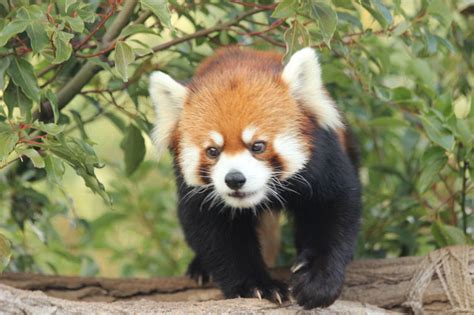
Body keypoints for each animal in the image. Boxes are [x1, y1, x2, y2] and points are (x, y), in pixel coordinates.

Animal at [150, 47, 362, 312]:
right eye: (212, 151)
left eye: (257, 146)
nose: (234, 179)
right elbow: (216, 234)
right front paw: (257, 286)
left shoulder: (323, 159)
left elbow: (334, 209)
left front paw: (318, 281)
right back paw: (201, 267)